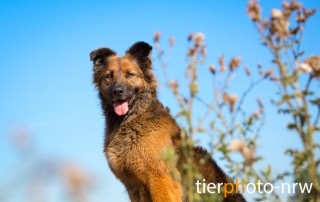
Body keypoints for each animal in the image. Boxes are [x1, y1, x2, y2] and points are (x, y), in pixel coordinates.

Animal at [90, 41, 245, 201]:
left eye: (130, 74)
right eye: (109, 76)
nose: (117, 91)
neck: (132, 121)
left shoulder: (161, 179)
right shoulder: (133, 187)